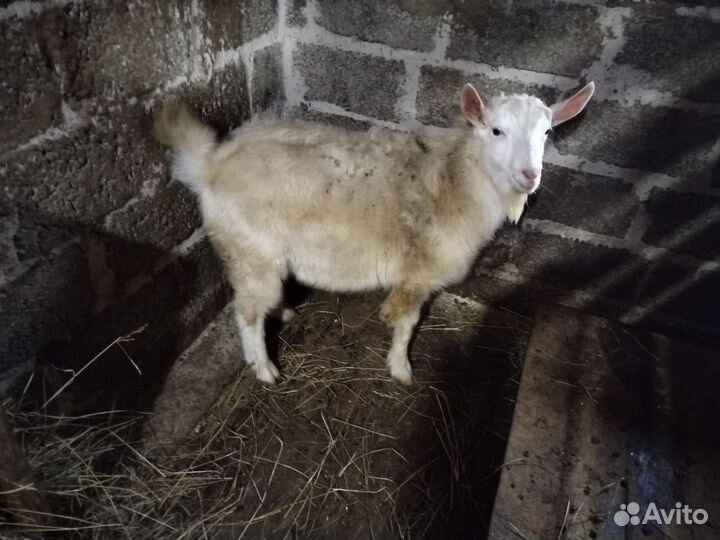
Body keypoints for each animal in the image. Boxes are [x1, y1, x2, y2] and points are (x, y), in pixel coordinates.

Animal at [154, 82, 595, 385]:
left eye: (547, 133)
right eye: (496, 131)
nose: (529, 175)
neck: (456, 179)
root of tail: (210, 164)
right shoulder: (418, 273)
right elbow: (406, 323)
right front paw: (401, 368)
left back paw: (284, 312)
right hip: (250, 251)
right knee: (246, 311)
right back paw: (264, 369)